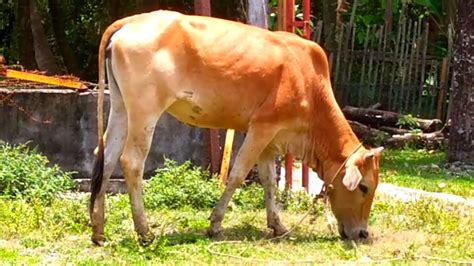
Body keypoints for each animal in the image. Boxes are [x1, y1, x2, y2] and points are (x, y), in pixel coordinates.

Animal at [90, 10, 386, 247]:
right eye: (364, 187)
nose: (362, 233)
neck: (310, 87)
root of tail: (130, 21)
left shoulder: (271, 140)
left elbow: (269, 181)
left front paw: (277, 225)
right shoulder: (261, 128)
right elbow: (237, 174)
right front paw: (215, 224)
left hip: (120, 108)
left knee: (106, 157)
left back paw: (98, 231)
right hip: (145, 111)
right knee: (131, 161)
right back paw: (144, 232)